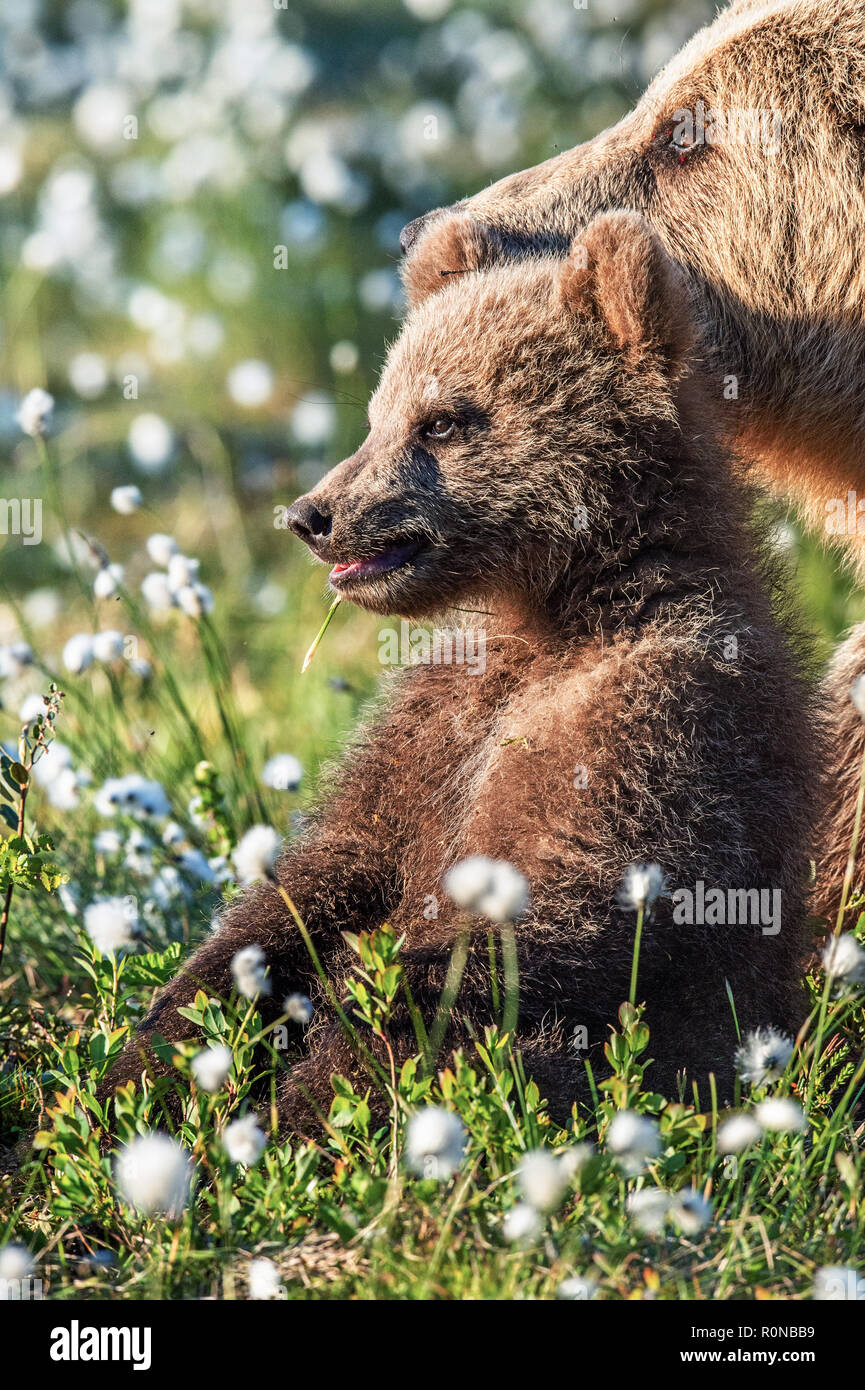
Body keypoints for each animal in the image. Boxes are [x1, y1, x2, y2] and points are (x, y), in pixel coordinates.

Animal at [105, 211, 818, 1130]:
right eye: (377, 413)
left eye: (442, 421)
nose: (310, 515)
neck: (555, 610)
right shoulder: (433, 722)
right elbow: (322, 875)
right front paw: (149, 1061)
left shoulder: (653, 724)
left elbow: (515, 932)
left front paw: (309, 1112)